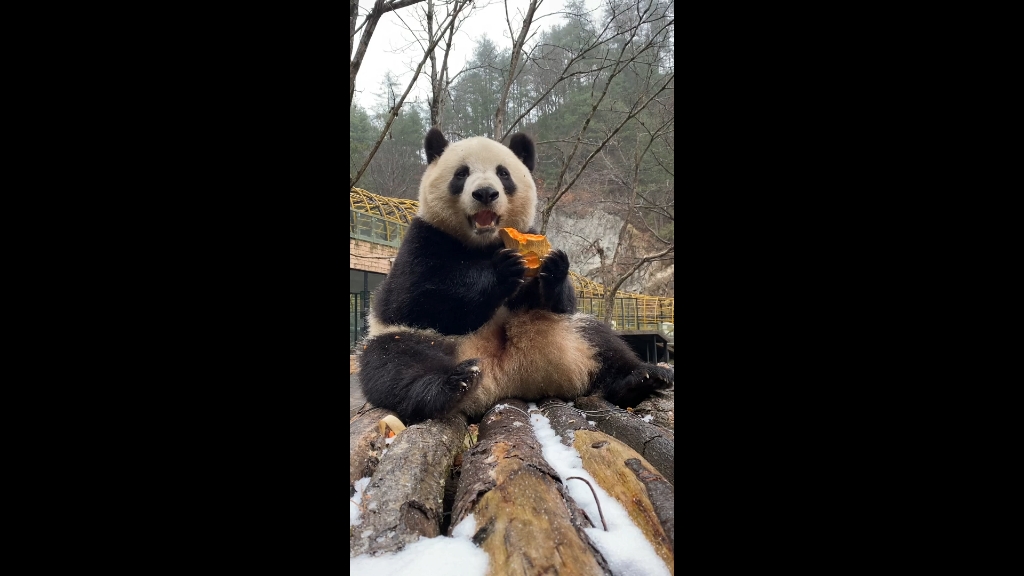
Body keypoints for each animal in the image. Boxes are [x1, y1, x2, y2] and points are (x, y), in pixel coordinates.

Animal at [360, 126, 671, 422]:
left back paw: (643, 378)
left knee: (602, 341)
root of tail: (507, 378)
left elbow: (564, 302)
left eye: (503, 174)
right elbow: (415, 299)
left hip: (567, 333)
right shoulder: (423, 239)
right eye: (461, 173)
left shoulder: (530, 233)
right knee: (395, 365)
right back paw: (453, 384)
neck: (484, 243)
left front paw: (553, 268)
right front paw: (502, 271)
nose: (485, 193)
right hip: (419, 340)